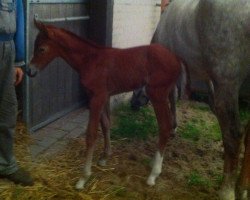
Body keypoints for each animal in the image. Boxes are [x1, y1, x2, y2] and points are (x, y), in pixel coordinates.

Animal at [26, 21, 180, 191]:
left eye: (41, 49)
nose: (29, 70)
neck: (90, 60)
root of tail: (175, 58)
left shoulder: (97, 98)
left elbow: (91, 134)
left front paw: (83, 177)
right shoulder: (100, 96)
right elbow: (106, 124)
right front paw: (105, 157)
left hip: (157, 95)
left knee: (165, 127)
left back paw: (153, 174)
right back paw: (154, 162)